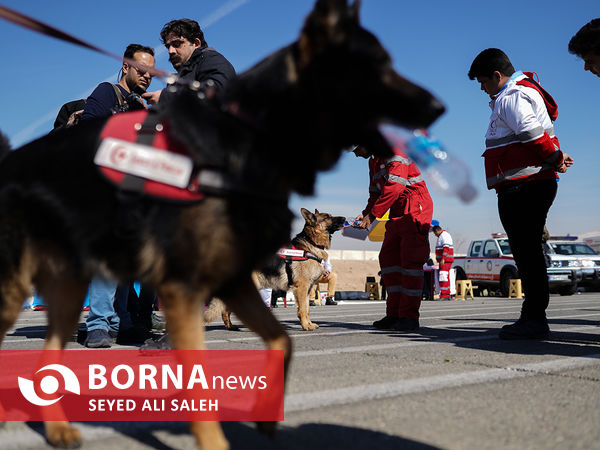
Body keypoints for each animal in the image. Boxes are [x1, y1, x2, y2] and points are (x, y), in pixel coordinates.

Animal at [206, 207, 344, 330]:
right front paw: (305, 326)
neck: (311, 242)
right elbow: (303, 309)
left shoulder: (308, 289)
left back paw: (230, 326)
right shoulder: (302, 288)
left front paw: (309, 324)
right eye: (327, 217)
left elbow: (307, 308)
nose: (344, 218)